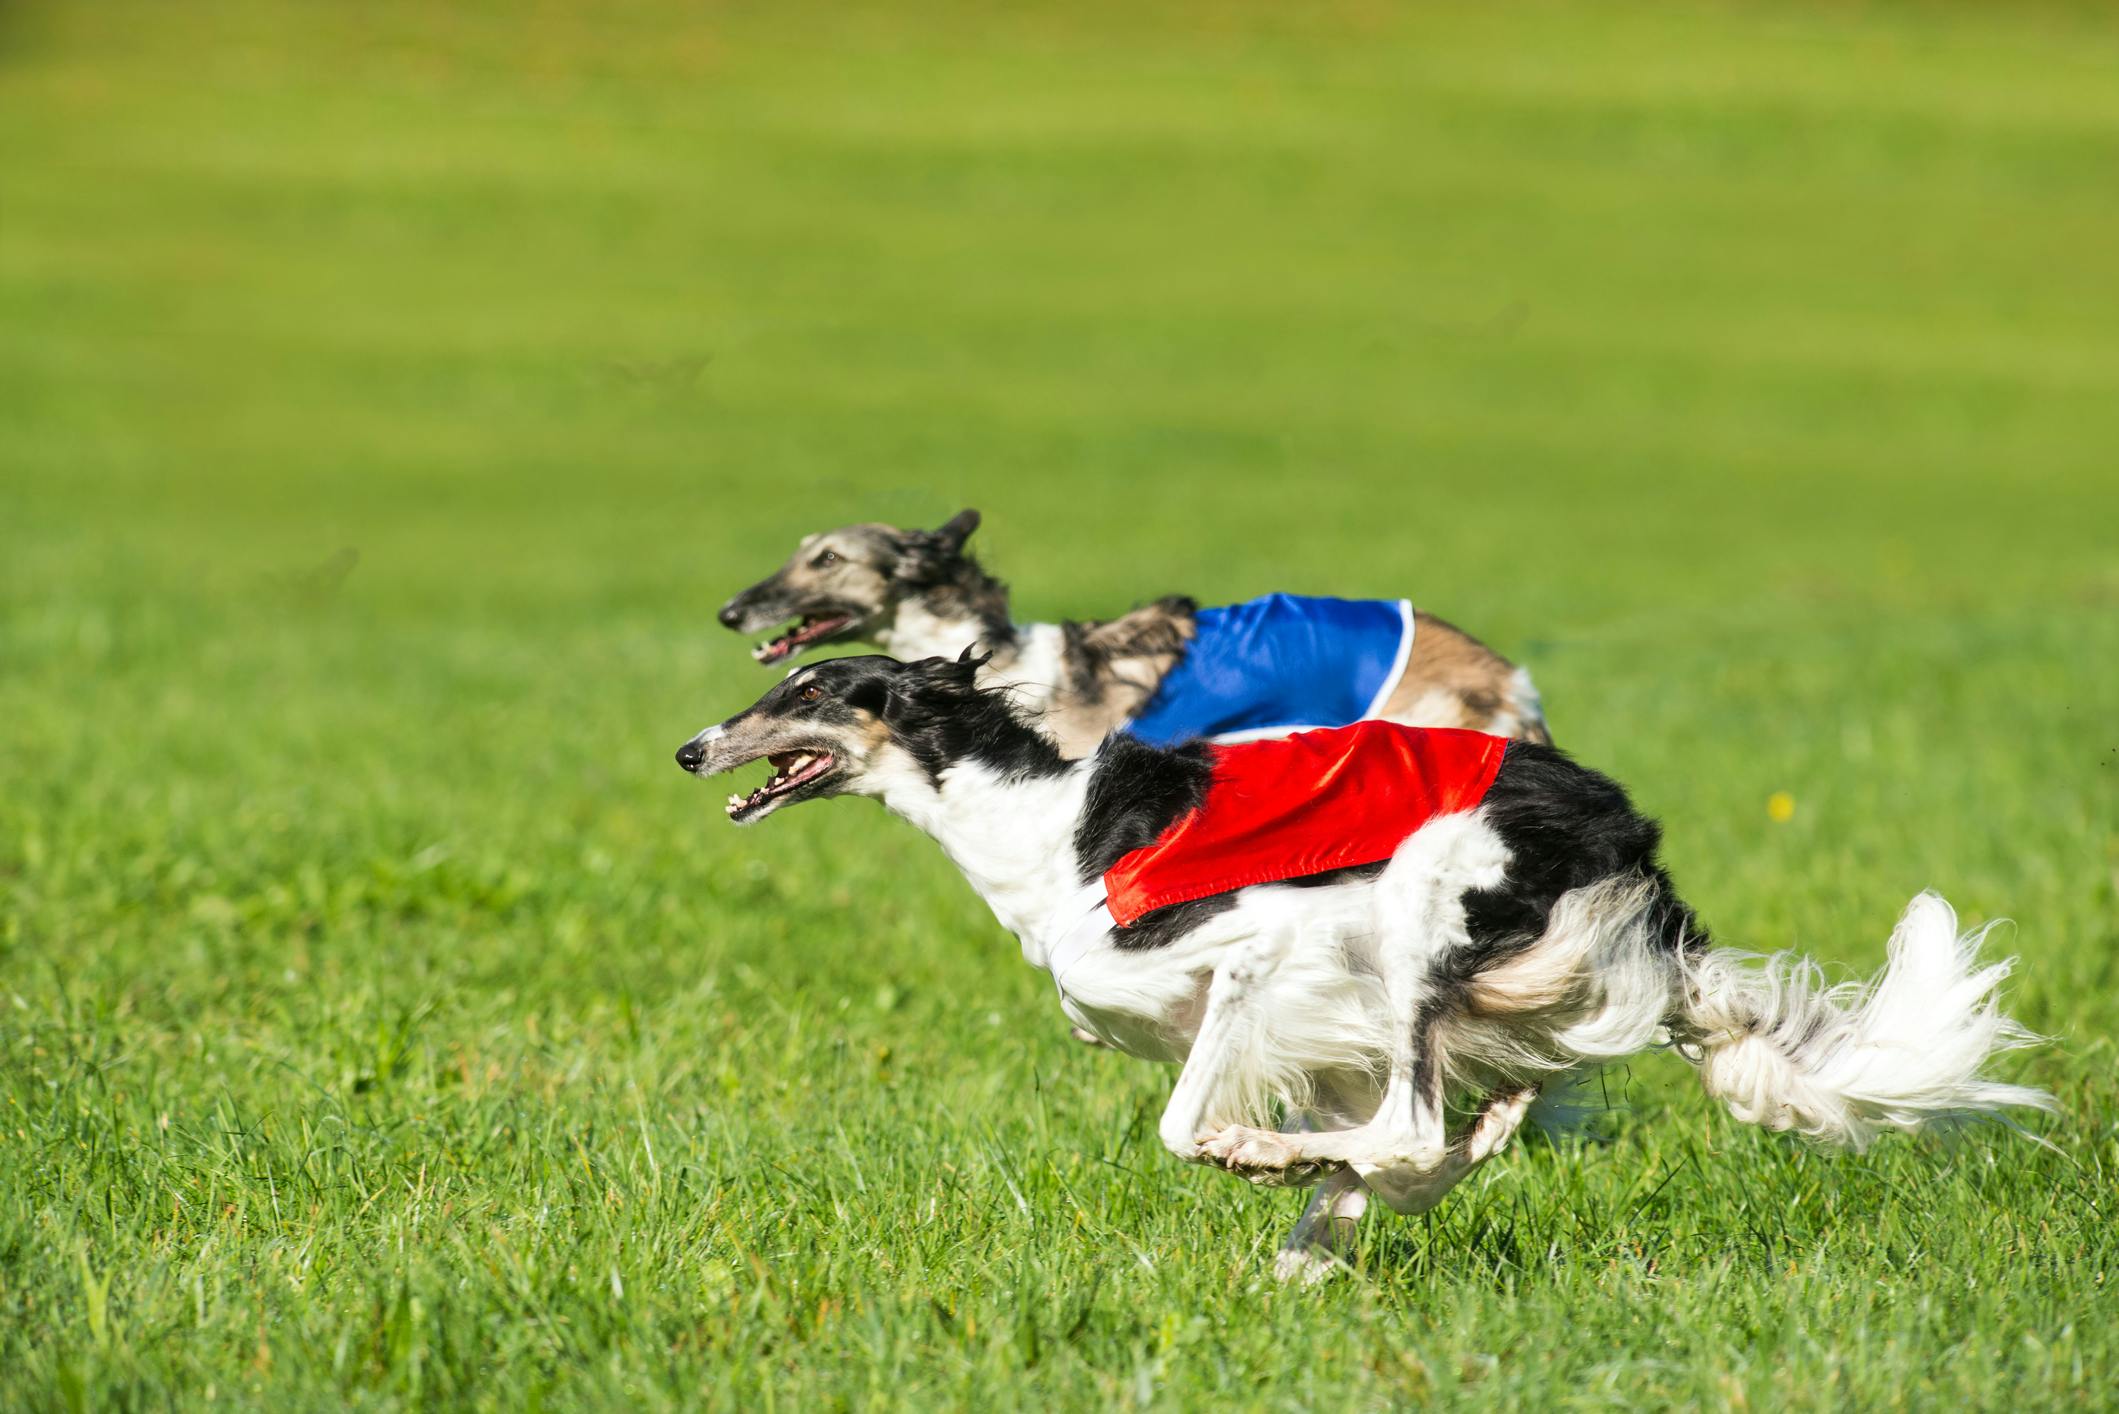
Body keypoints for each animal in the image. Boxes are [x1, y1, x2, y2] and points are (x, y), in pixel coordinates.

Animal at [669, 652, 2042, 1280]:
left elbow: (1189, 1124)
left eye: (811, 688)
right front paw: (1317, 1229)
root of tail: (1628, 834)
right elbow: (1371, 1147)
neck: (1041, 825)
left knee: (1410, 1123)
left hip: (1423, 918)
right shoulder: (1310, 1025)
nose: (688, 748)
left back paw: (1309, 1171)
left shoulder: (1260, 955)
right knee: (1442, 1124)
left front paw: (1258, 1158)